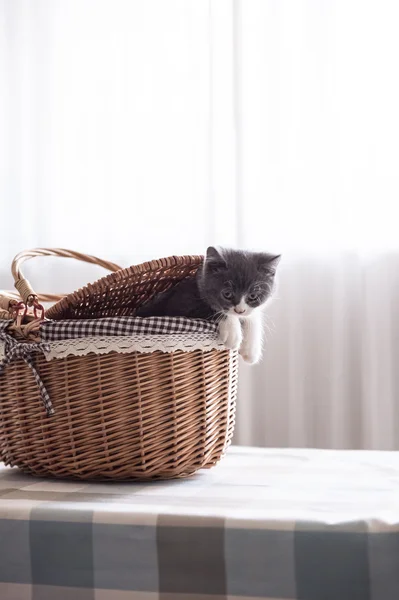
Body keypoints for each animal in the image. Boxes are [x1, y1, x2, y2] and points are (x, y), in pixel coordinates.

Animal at [138, 246, 282, 364]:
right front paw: (232, 331)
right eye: (227, 294)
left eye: (253, 296)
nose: (239, 311)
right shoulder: (180, 303)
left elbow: (252, 315)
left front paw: (251, 350)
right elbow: (211, 308)